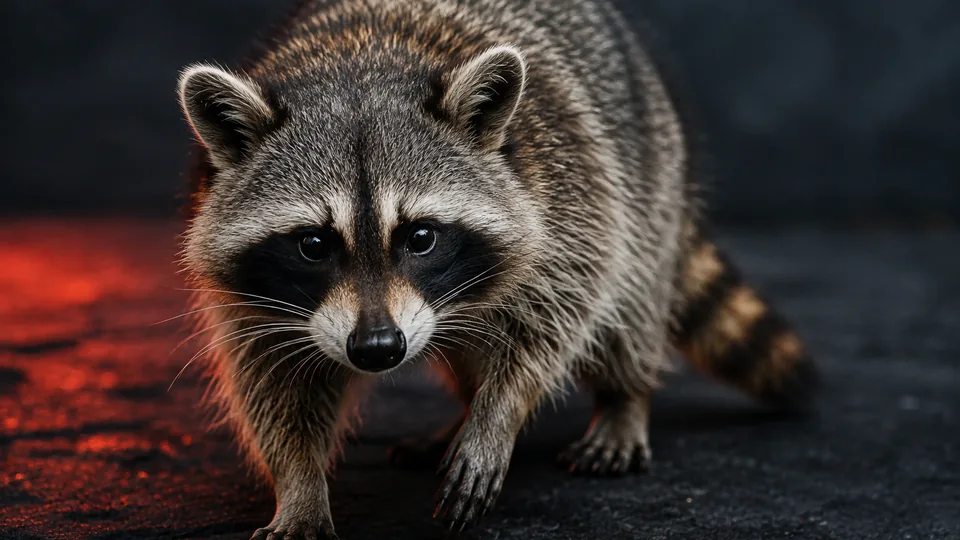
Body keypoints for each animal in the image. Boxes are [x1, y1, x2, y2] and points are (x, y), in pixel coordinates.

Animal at [175, 0, 817, 537]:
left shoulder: (567, 200)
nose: (379, 348)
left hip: (648, 174)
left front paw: (498, 415)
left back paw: (622, 398)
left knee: (629, 298)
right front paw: (299, 486)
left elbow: (560, 315)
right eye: (313, 244)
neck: (356, 67)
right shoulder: (254, 296)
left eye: (421, 237)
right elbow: (274, 381)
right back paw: (462, 411)